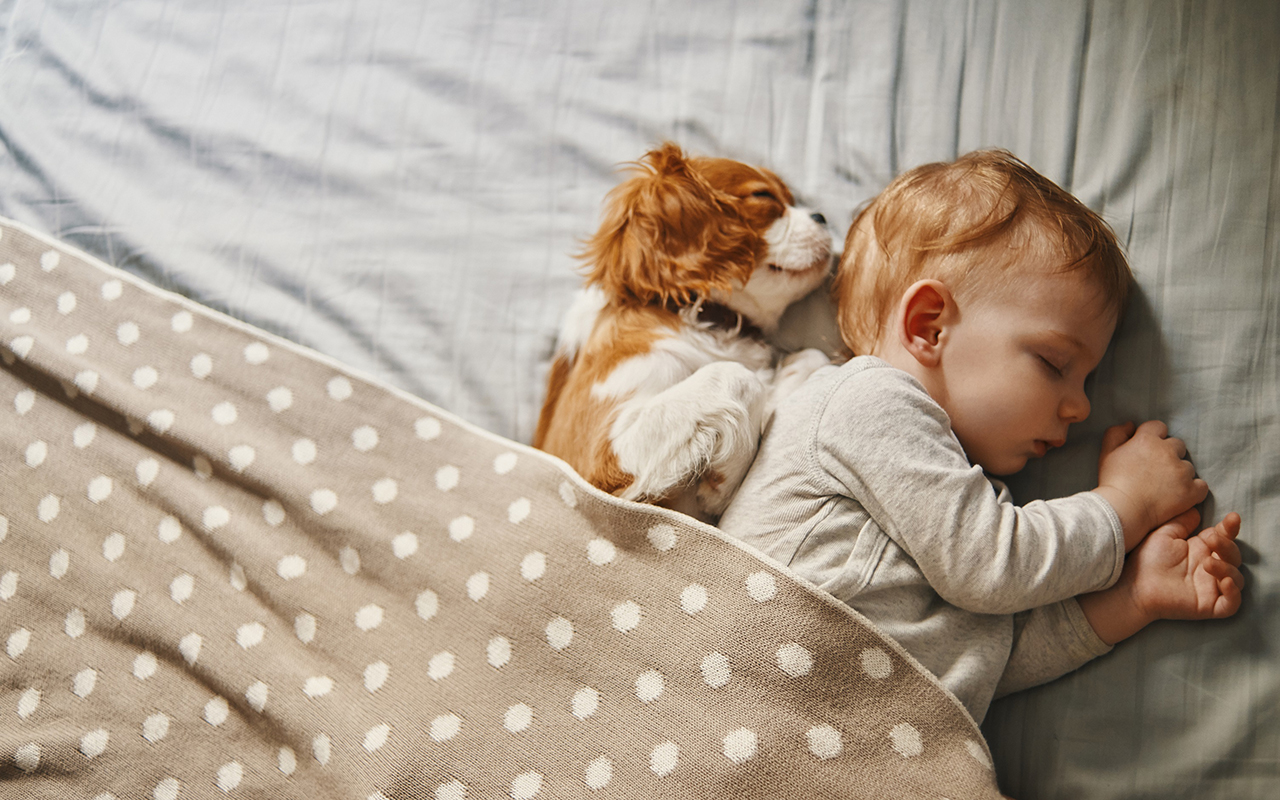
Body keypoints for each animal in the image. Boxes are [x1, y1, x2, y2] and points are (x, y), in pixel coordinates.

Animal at [533, 142, 833, 521]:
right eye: (763, 196)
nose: (822, 216)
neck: (708, 321)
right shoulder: (592, 460)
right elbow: (735, 375)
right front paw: (724, 480)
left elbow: (811, 356)